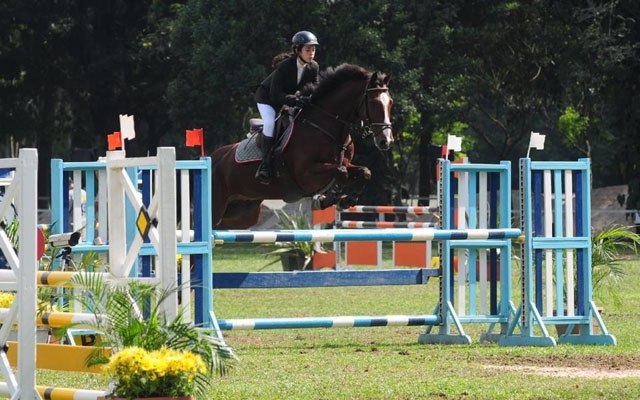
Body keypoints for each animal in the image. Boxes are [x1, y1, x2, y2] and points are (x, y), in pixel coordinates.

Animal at [211, 64, 390, 230]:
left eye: (390, 103)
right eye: (374, 103)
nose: (385, 140)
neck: (324, 125)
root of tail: (213, 157)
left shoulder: (345, 163)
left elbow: (364, 172)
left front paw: (345, 200)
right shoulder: (305, 174)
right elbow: (341, 172)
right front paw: (331, 198)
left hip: (243, 213)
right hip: (218, 207)